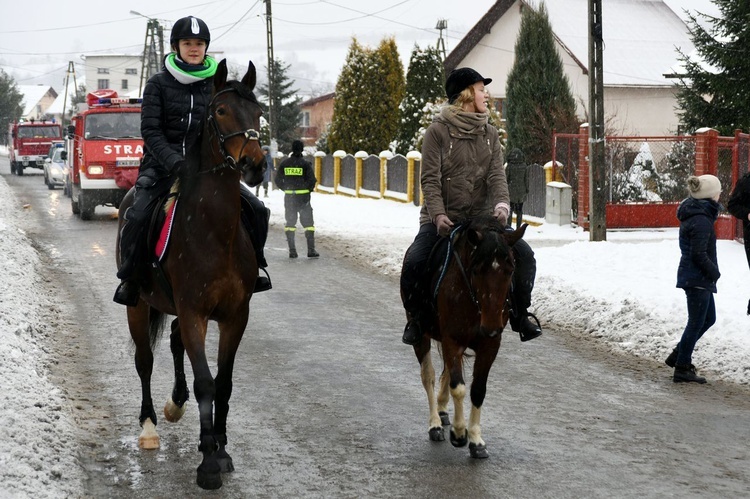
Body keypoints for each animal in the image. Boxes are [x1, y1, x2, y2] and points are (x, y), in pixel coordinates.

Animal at [116, 59, 268, 492]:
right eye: (221, 111)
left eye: (258, 112)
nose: (255, 164)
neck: (215, 232)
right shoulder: (194, 311)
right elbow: (205, 383)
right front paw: (208, 463)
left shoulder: (235, 316)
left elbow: (223, 382)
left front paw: (220, 447)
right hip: (139, 306)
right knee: (146, 360)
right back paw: (150, 426)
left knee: (174, 343)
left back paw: (175, 403)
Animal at [408, 219, 524, 460]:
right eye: (477, 270)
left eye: (510, 270)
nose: (491, 327)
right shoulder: (452, 339)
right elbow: (458, 387)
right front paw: (459, 433)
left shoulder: (490, 345)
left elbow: (477, 389)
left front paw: (476, 440)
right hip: (422, 336)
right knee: (429, 375)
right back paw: (435, 423)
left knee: (445, 372)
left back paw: (443, 410)